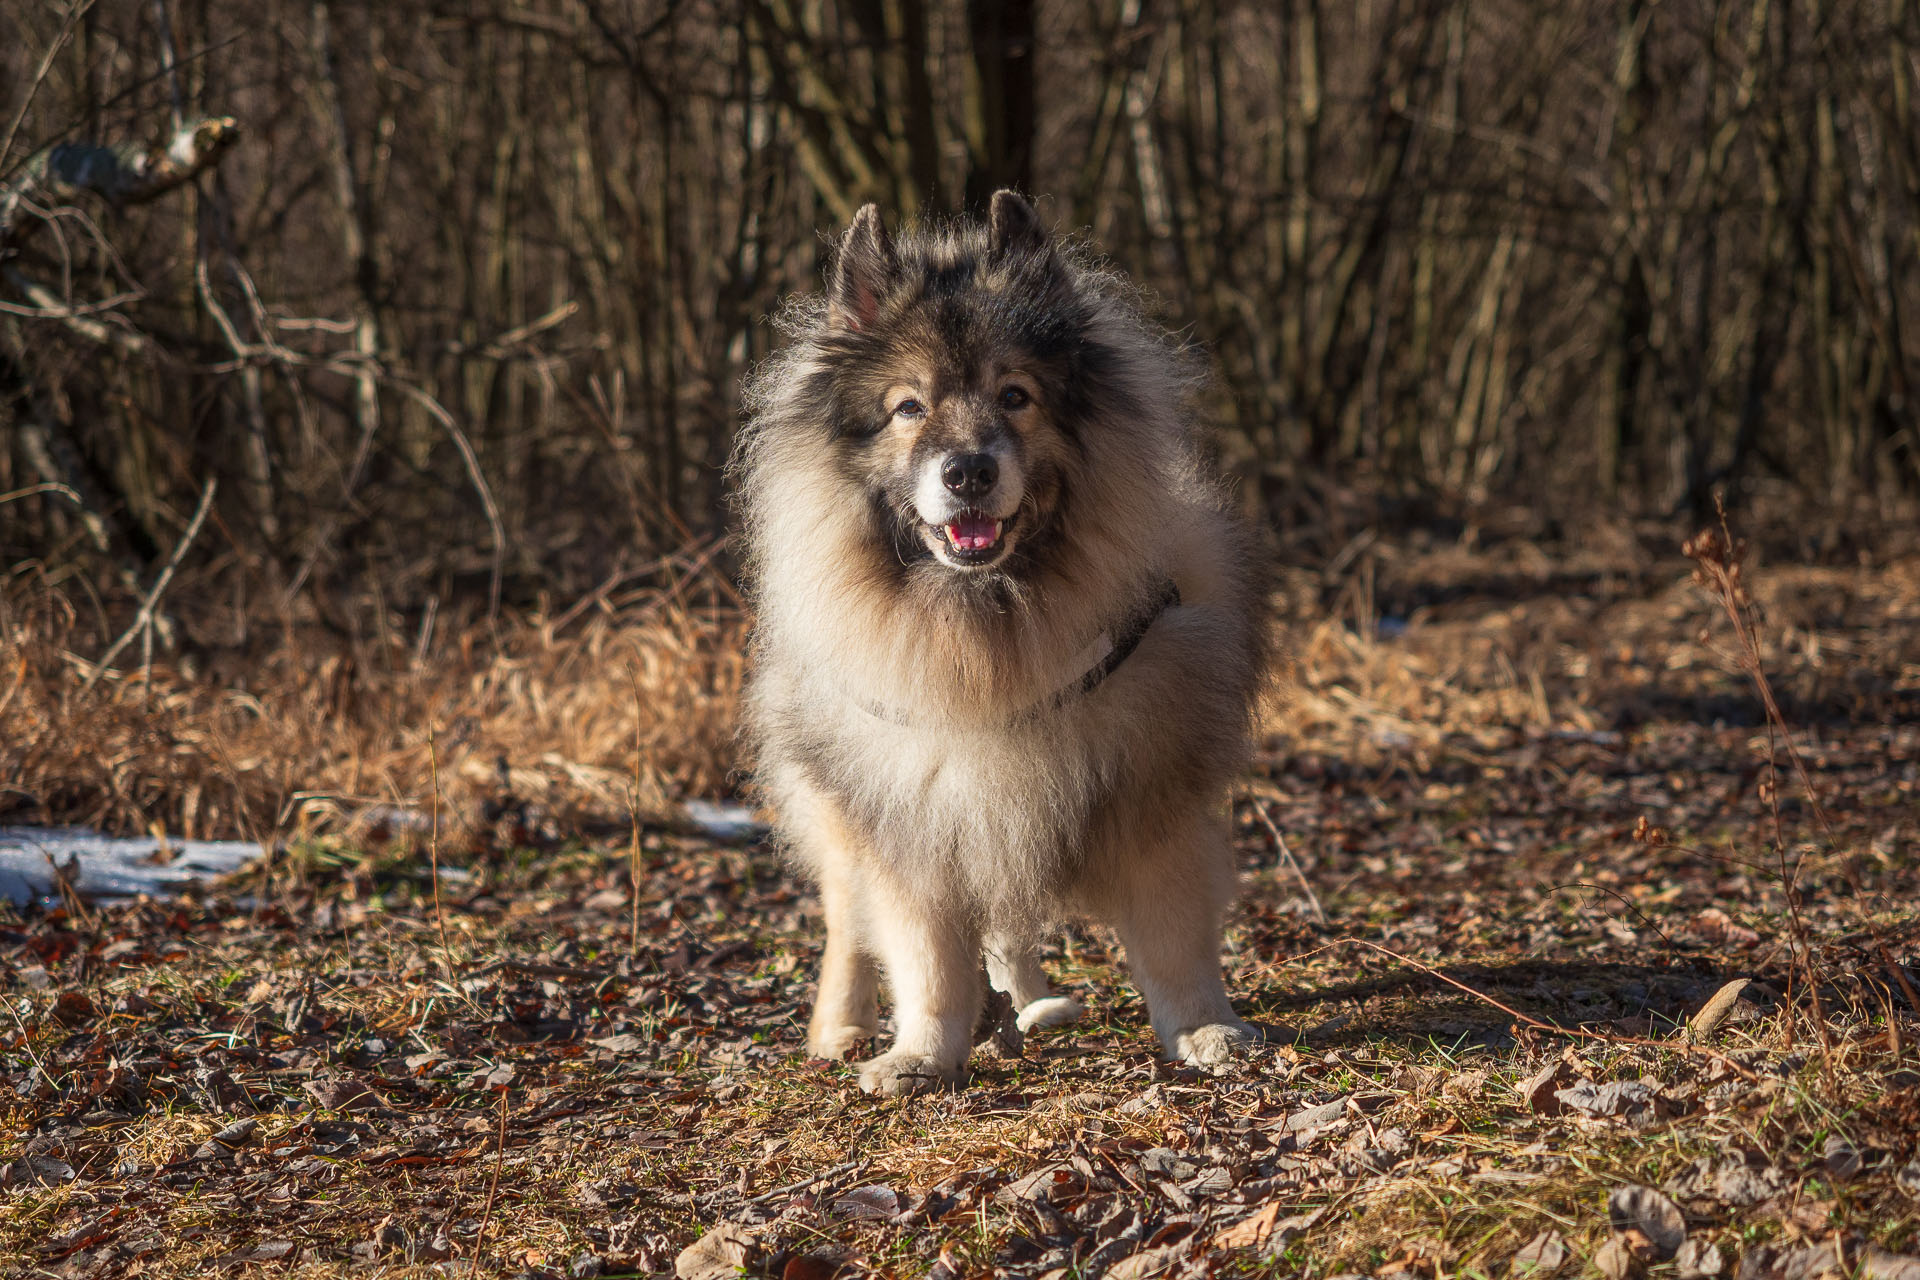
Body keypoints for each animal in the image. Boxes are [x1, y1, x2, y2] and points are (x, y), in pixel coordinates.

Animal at [733, 192, 1259, 1105]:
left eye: (1016, 396)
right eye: (909, 408)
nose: (968, 471)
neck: (987, 620)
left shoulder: (1151, 801)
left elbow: (1173, 939)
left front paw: (1203, 1030)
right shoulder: (909, 829)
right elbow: (926, 961)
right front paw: (921, 1053)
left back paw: (1027, 1004)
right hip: (841, 809)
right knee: (847, 920)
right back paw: (843, 1026)